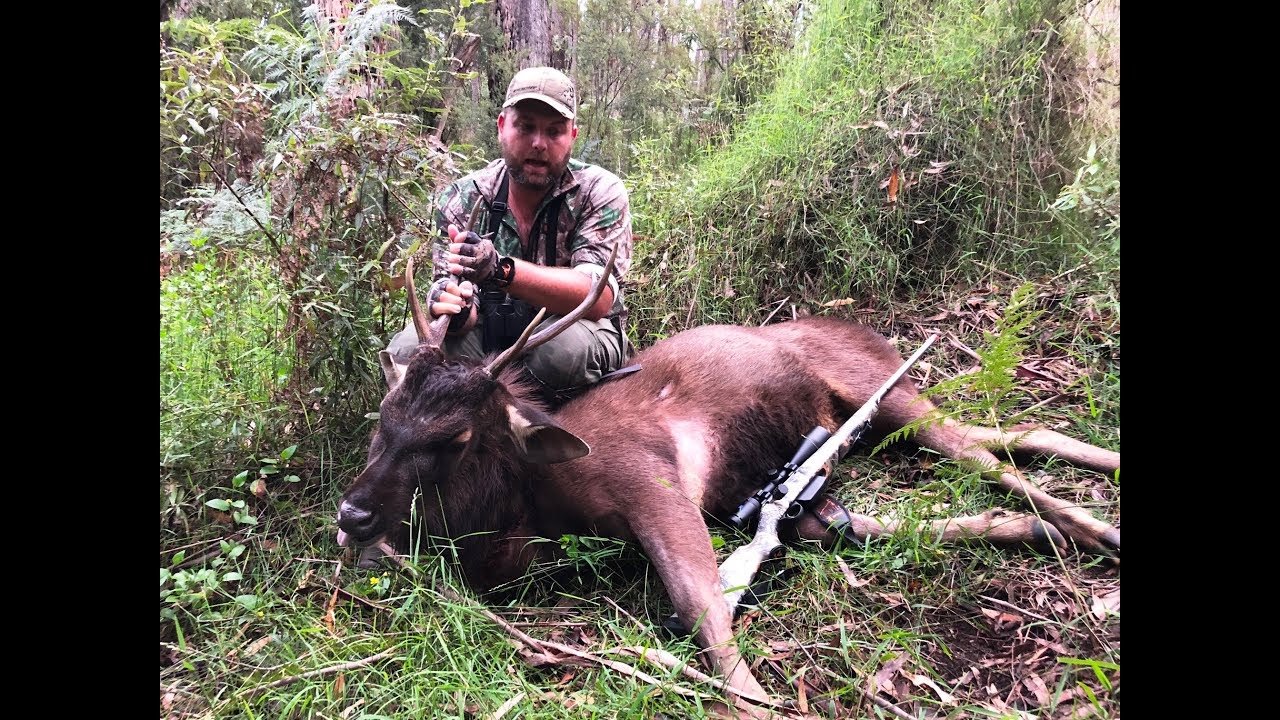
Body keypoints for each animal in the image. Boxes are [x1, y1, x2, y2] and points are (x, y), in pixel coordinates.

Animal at [335, 241, 1120, 708]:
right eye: (383, 417)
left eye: (457, 436)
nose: (353, 516)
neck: (534, 510)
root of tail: (873, 331)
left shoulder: (649, 478)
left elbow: (702, 610)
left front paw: (760, 699)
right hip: (855, 439)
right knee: (1006, 440)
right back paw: (1052, 526)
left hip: (882, 392)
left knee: (982, 453)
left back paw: (1092, 527)